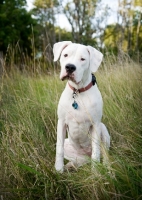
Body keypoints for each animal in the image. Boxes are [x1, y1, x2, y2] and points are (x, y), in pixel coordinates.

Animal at [53, 41, 110, 172]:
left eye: (83, 59)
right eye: (65, 55)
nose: (70, 67)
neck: (78, 92)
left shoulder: (95, 125)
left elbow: (96, 154)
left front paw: (95, 174)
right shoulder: (61, 123)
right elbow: (59, 150)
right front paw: (58, 170)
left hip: (103, 129)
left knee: (104, 155)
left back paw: (108, 170)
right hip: (69, 145)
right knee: (81, 160)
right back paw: (70, 166)